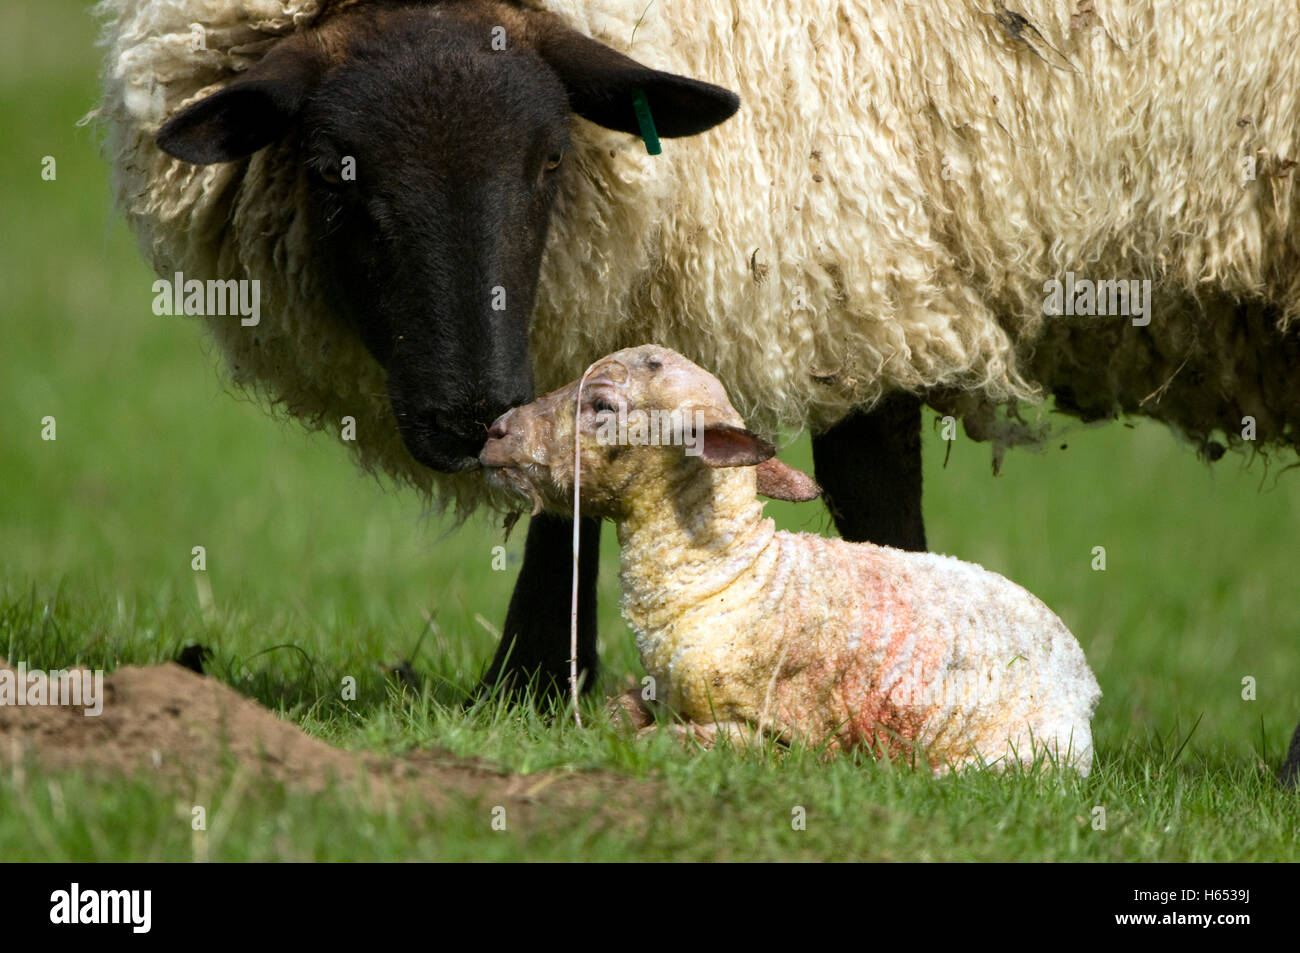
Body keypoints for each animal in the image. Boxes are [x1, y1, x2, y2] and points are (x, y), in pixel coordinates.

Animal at [96, 0, 1300, 699]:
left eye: (548, 161)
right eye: (332, 170)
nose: (470, 413)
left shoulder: (857, 236)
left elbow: (871, 485)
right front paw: (531, 689)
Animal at [479, 345, 1103, 774]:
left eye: (603, 405)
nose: (494, 433)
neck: (732, 576)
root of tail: (1086, 681)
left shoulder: (778, 730)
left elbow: (667, 741)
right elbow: (615, 714)